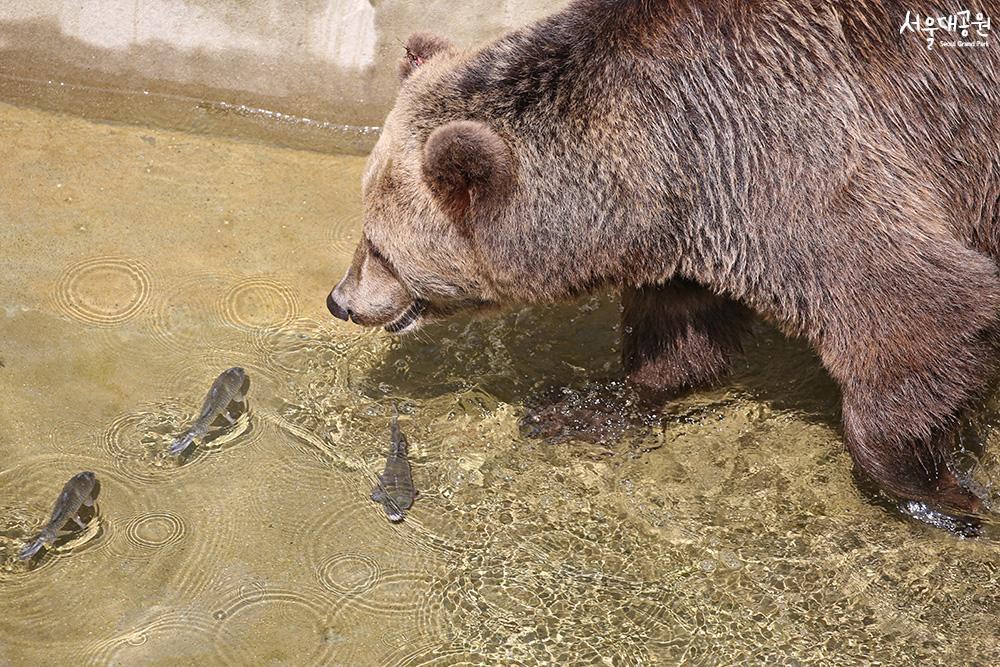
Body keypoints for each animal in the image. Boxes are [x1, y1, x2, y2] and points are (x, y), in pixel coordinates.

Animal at [328, 1, 1000, 528]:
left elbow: (919, 315)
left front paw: (944, 492)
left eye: (378, 245)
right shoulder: (694, 225)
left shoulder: (806, 165)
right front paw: (578, 406)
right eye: (366, 230)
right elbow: (679, 335)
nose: (340, 300)